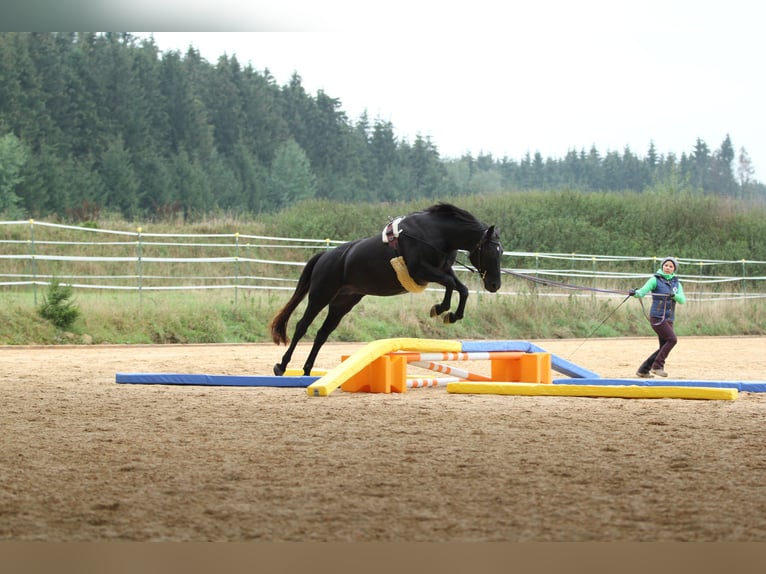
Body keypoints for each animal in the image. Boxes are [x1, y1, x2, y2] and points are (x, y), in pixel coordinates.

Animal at [269, 203, 503, 376]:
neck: (437, 233)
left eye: (501, 252)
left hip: (343, 303)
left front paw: (450, 314)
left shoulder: (443, 269)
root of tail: (324, 256)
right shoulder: (421, 270)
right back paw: (281, 366)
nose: (494, 285)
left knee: (322, 334)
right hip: (321, 295)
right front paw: (441, 309)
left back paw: (307, 371)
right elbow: (452, 285)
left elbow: (462, 289)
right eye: (491, 252)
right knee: (302, 326)